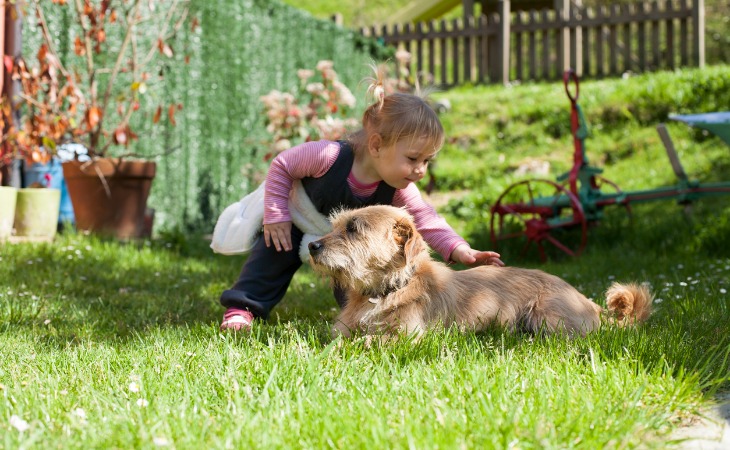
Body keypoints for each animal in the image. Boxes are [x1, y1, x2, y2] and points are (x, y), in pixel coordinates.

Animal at [306, 204, 648, 338]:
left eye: (353, 228)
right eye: (336, 225)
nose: (311, 246)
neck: (387, 290)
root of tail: (589, 302)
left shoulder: (406, 336)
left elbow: (368, 342)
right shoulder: (342, 330)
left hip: (548, 318)